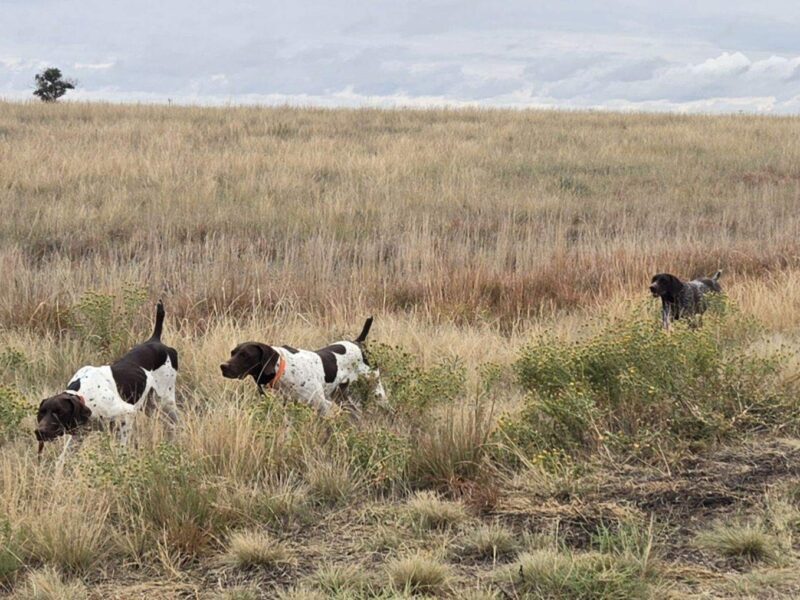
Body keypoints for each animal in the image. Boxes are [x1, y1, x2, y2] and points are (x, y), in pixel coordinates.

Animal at [34, 300, 178, 454]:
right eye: (41, 413)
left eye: (60, 412)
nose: (39, 432)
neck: (86, 395)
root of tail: (155, 339)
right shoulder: (78, 436)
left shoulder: (127, 414)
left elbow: (122, 446)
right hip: (149, 406)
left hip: (166, 400)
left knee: (175, 422)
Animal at [220, 316, 386, 414]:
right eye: (232, 353)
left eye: (245, 355)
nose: (222, 366)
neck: (283, 370)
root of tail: (357, 342)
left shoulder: (323, 405)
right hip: (342, 396)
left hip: (376, 390)